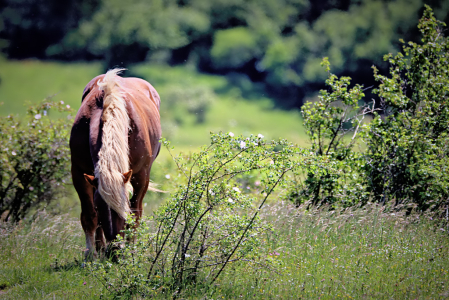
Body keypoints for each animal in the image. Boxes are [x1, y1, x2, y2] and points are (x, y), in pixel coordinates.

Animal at [70, 68, 161, 258]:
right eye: (99, 206)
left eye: (123, 203)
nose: (115, 252)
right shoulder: (79, 173)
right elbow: (89, 216)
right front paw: (90, 255)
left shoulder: (141, 176)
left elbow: (135, 214)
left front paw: (132, 251)